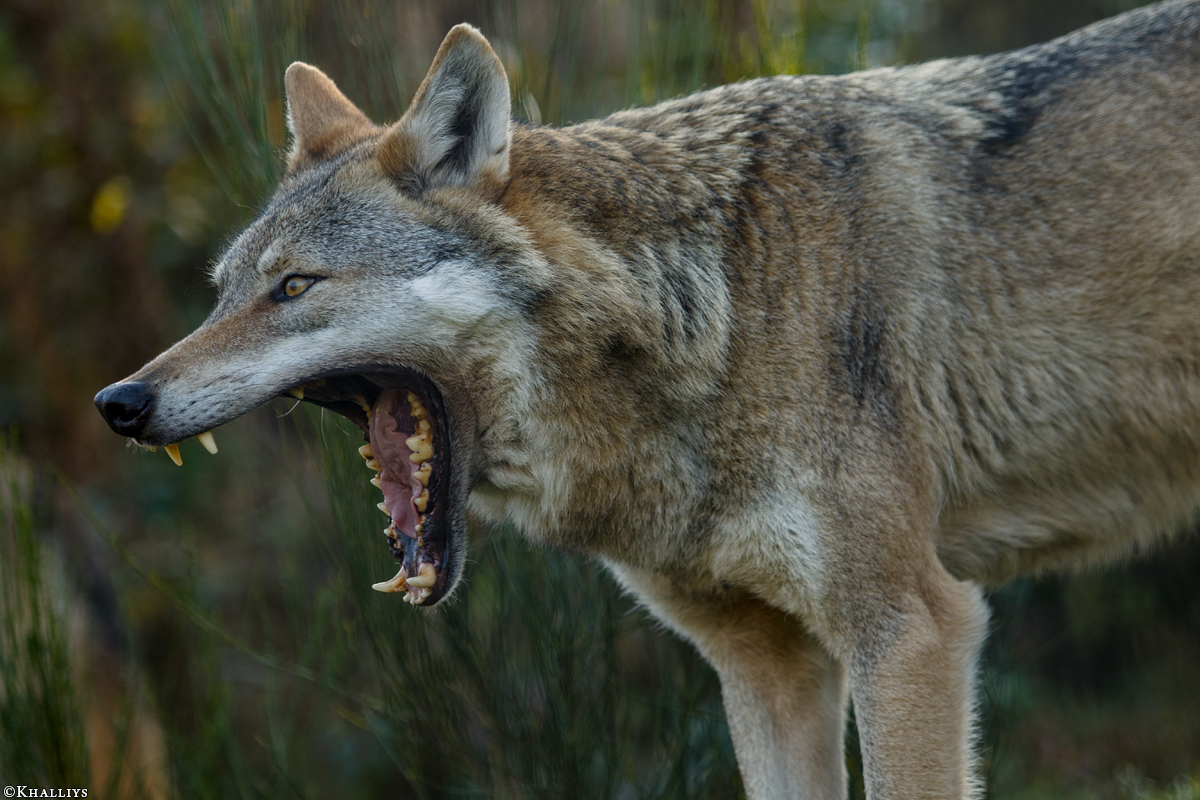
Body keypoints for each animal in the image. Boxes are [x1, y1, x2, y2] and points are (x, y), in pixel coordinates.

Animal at [96, 1, 1200, 796]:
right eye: (223, 292)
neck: (717, 310)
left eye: (295, 288)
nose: (120, 401)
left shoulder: (914, 629)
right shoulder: (765, 664)